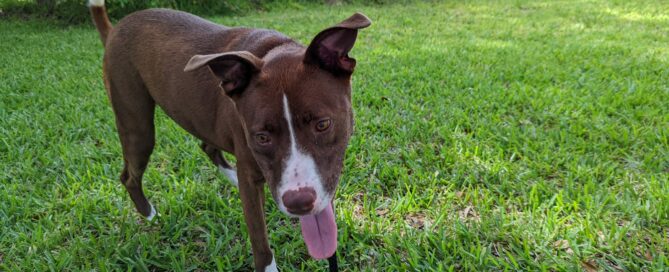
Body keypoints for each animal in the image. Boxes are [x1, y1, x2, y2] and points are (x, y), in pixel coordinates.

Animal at [87, 0, 370, 270]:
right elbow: (260, 242)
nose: (298, 202)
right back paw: (150, 215)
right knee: (129, 175)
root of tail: (116, 29)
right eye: (261, 137)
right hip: (138, 126)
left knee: (208, 147)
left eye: (322, 124)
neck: (275, 51)